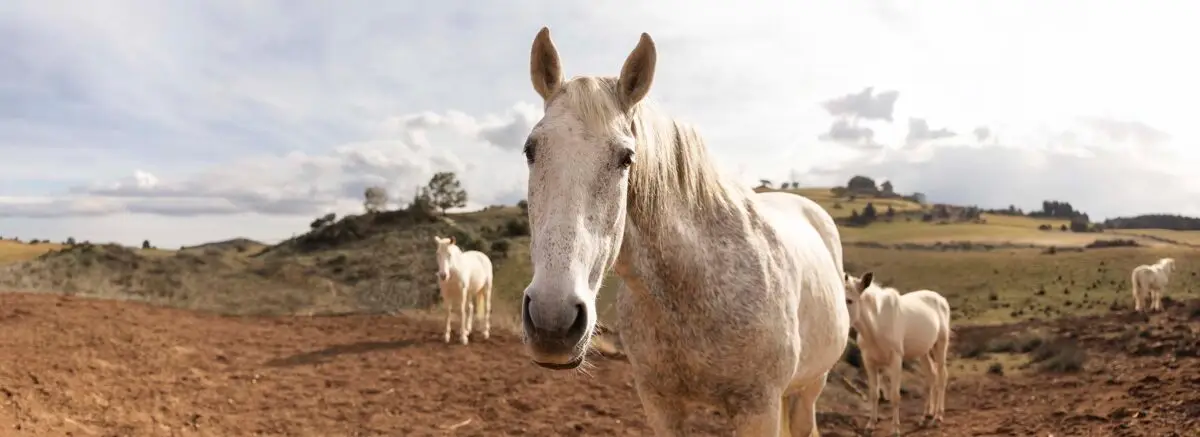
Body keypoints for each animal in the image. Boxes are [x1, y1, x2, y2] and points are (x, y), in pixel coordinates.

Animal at [518, 27, 850, 436]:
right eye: (531, 150)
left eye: (626, 158)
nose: (552, 321)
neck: (695, 285)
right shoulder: (660, 404)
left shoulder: (759, 408)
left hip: (809, 388)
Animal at [843, 272, 951, 436]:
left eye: (849, 300)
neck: (876, 324)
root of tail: (941, 299)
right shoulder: (869, 362)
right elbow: (874, 394)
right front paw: (870, 424)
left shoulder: (896, 360)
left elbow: (895, 396)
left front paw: (895, 429)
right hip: (923, 352)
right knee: (931, 376)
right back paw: (926, 415)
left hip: (940, 345)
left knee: (941, 377)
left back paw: (938, 416)